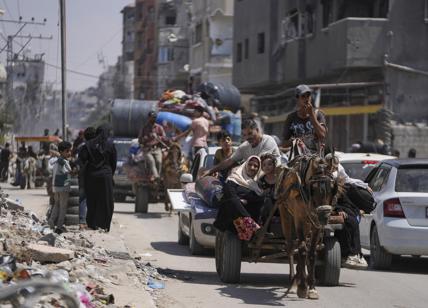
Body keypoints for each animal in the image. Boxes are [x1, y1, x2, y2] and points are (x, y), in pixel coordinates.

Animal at [276, 153, 342, 300]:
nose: (324, 217)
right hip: (285, 213)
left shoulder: (315, 225)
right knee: (291, 247)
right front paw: (302, 287)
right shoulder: (299, 218)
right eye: (314, 188)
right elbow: (302, 249)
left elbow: (311, 253)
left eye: (332, 188)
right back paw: (293, 282)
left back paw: (300, 276)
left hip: (309, 223)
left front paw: (311, 287)